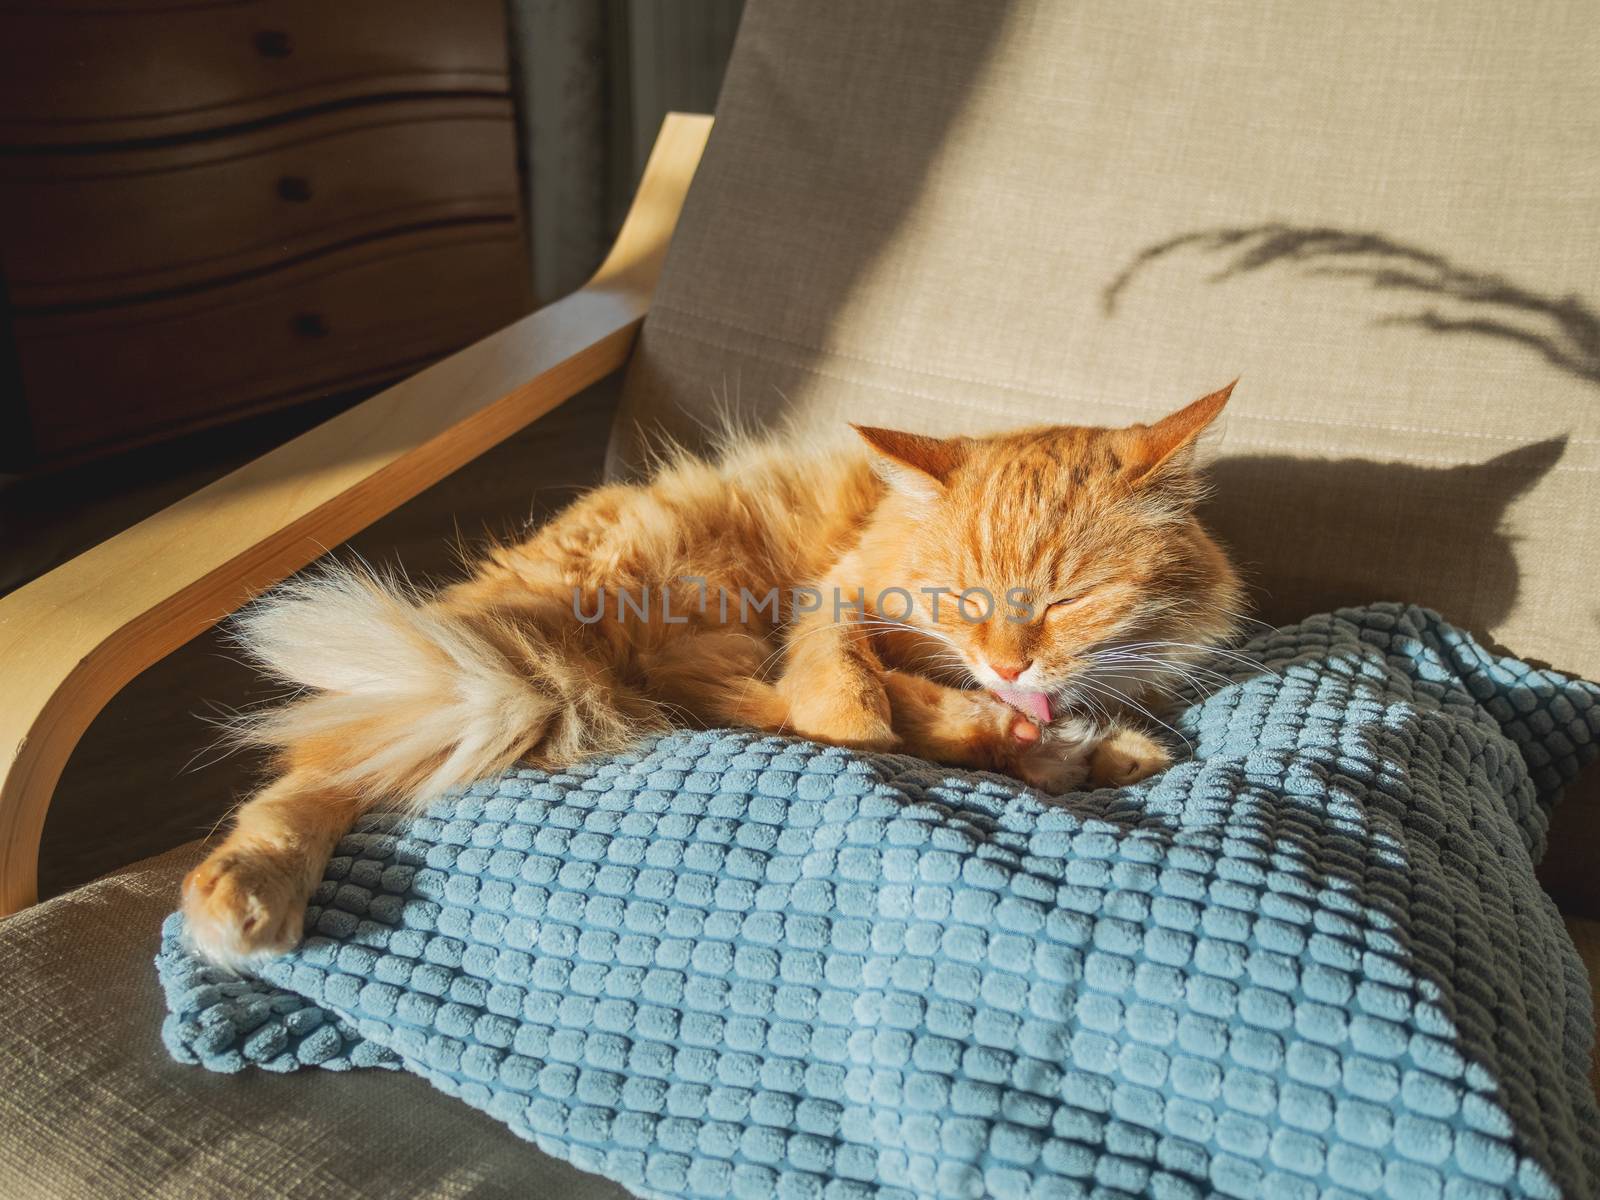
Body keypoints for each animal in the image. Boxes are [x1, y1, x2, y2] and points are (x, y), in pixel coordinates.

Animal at [184, 382, 1235, 966]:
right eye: (960, 598)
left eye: (1069, 599)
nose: (1005, 660)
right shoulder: (837, 597)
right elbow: (844, 683)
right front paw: (900, 715)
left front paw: (1075, 737)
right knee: (314, 773)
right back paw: (244, 893)